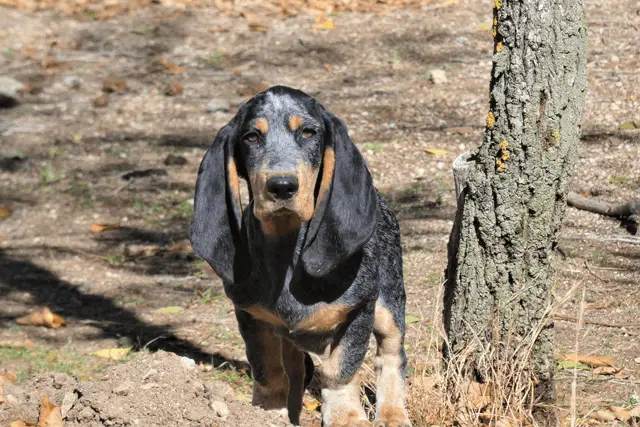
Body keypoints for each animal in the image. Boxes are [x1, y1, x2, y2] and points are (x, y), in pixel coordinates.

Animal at [190, 87, 410, 427]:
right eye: (251, 137)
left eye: (309, 132)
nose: (281, 187)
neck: (286, 251)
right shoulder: (251, 317)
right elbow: (267, 370)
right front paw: (266, 412)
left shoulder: (358, 312)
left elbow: (340, 371)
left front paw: (345, 416)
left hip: (388, 303)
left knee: (392, 354)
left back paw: (392, 414)